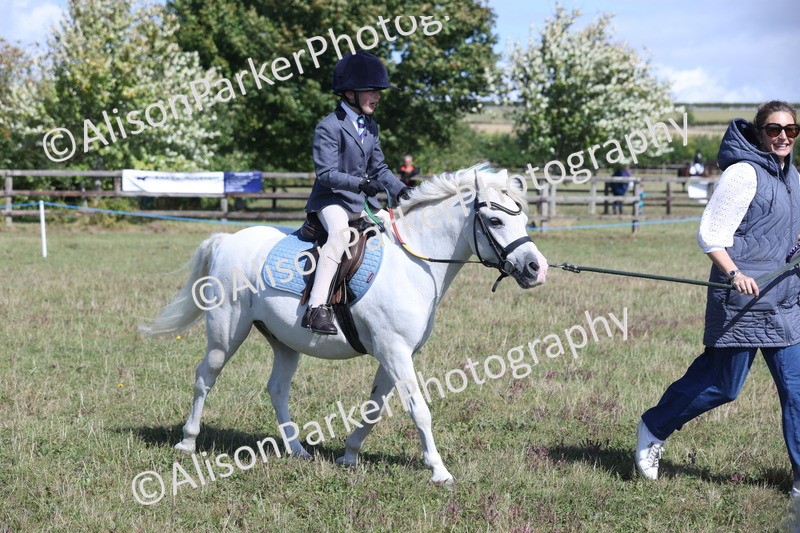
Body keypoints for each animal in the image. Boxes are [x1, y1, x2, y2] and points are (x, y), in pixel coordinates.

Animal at [139, 164, 548, 486]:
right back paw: (187, 441)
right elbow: (418, 408)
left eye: (523, 219)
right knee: (205, 377)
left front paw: (349, 454)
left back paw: (297, 449)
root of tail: (227, 240)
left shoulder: (393, 352)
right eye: (495, 220)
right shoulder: (394, 351)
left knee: (277, 389)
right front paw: (439, 471)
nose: (537, 269)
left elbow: (375, 407)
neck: (414, 263)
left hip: (285, 341)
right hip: (226, 334)